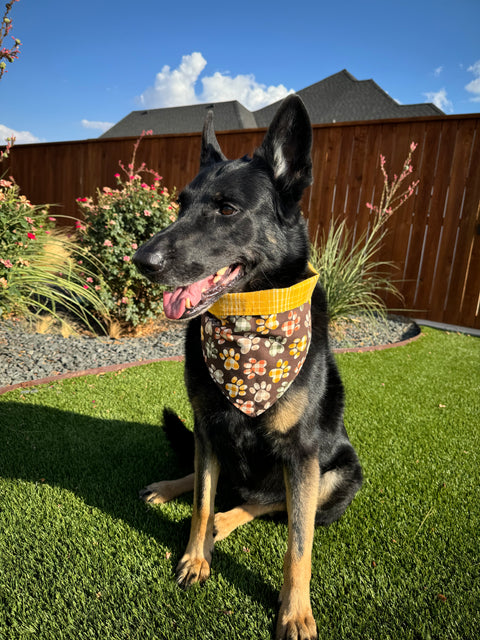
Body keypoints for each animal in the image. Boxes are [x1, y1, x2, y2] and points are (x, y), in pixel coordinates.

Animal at [133, 95, 362, 640]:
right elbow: (201, 501)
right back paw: (173, 487)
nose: (141, 260)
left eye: (227, 209)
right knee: (212, 480)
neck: (248, 323)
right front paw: (195, 558)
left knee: (270, 502)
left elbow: (299, 543)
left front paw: (295, 612)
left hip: (340, 471)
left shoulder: (301, 455)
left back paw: (228, 518)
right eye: (179, 205)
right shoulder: (207, 425)